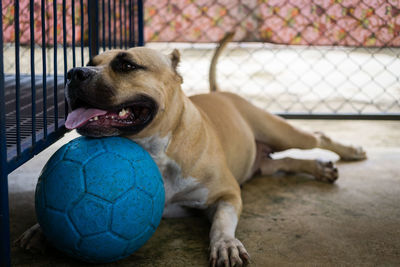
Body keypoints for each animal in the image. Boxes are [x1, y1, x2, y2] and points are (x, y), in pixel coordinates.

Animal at [16, 34, 366, 266]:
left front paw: (226, 243)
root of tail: (222, 92)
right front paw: (40, 230)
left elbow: (222, 221)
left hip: (281, 131)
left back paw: (349, 151)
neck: (156, 150)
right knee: (282, 163)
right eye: (89, 63)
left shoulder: (227, 193)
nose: (73, 73)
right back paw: (319, 168)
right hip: (261, 161)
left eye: (126, 65)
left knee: (316, 136)